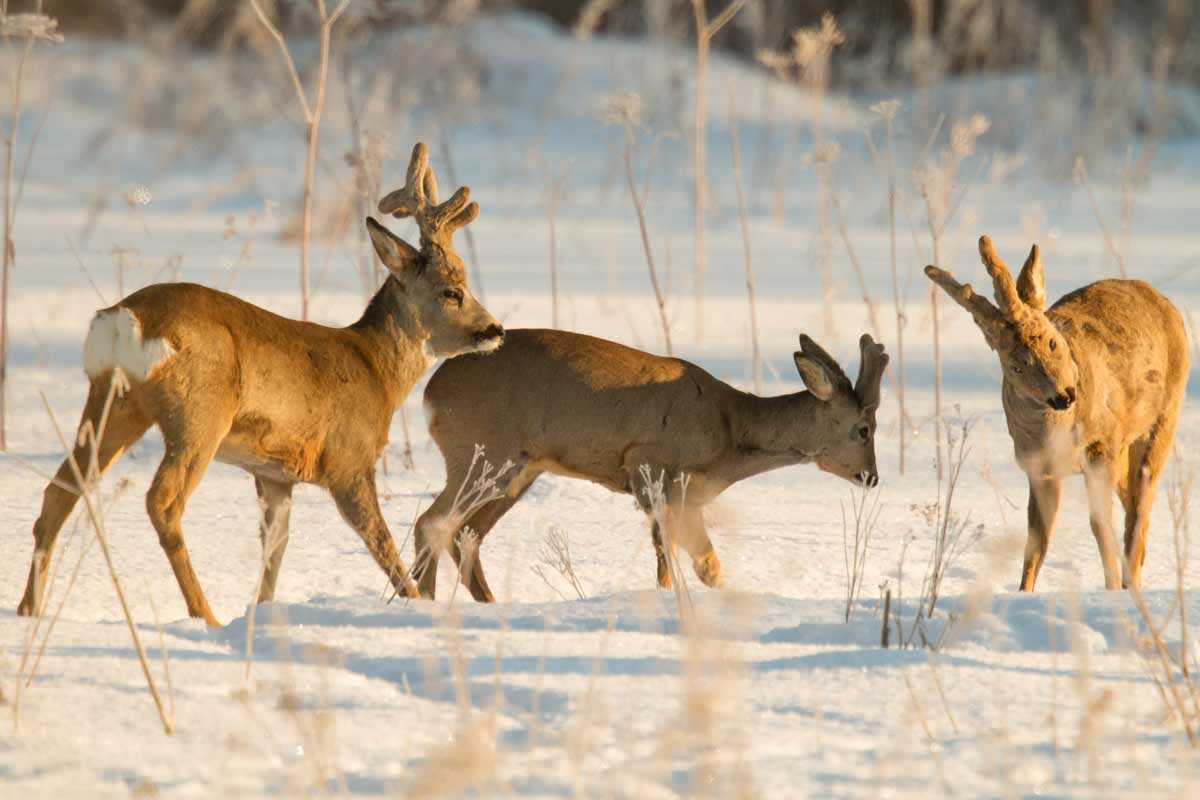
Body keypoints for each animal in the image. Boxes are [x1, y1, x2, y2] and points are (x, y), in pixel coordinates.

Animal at [19, 142, 496, 623]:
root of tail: (124, 319)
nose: (494, 329)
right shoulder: (349, 460)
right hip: (198, 415)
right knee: (162, 502)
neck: (377, 370)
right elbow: (383, 546)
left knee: (61, 490)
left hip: (112, 402)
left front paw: (262, 615)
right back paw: (204, 615)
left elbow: (275, 550)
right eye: (452, 291)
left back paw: (29, 609)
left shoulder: (275, 475)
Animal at [412, 331, 892, 599]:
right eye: (863, 429)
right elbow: (673, 559)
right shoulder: (650, 466)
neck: (729, 429)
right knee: (432, 522)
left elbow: (707, 565)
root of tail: (430, 392)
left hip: (518, 471)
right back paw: (419, 601)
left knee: (466, 535)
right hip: (482, 452)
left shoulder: (689, 496)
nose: (871, 476)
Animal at [921, 235, 1185, 592]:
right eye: (1015, 365)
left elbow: (1099, 526)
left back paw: (1132, 583)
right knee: (1133, 508)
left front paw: (1111, 589)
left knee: (1139, 512)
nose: (1064, 396)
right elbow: (1037, 540)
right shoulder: (1039, 468)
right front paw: (1023, 593)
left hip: (1162, 421)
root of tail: (1160, 298)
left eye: (1051, 342)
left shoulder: (1101, 448)